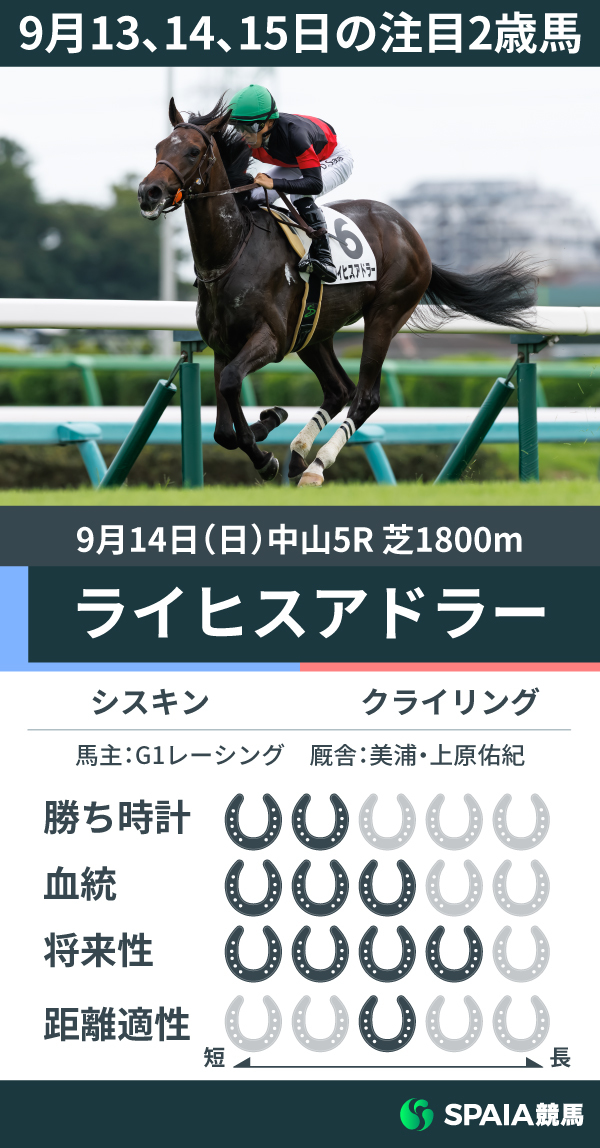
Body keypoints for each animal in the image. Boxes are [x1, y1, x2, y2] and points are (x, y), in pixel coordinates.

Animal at [138, 97, 536, 486]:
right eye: (158, 146)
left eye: (192, 151)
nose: (148, 192)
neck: (233, 252)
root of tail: (412, 235)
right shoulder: (223, 347)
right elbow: (223, 427)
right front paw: (268, 424)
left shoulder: (271, 339)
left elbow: (234, 384)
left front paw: (264, 456)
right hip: (314, 331)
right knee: (339, 389)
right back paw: (296, 450)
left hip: (385, 314)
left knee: (364, 397)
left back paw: (317, 464)